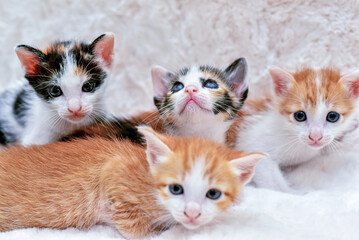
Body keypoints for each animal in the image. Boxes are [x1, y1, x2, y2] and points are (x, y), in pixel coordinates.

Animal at [0, 125, 266, 238]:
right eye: (176, 189)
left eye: (213, 194)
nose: (192, 214)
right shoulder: (113, 173)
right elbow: (134, 228)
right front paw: (154, 232)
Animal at [229, 66, 359, 193]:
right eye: (299, 116)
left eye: (332, 116)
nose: (315, 136)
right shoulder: (253, 141)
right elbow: (276, 185)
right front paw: (296, 192)